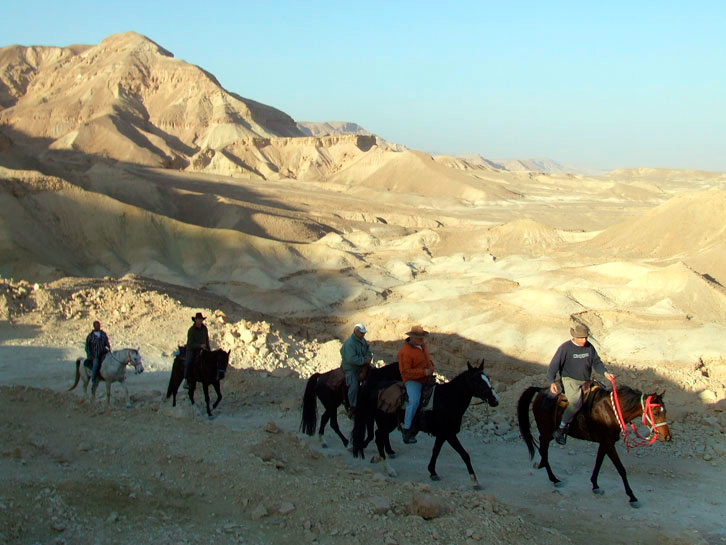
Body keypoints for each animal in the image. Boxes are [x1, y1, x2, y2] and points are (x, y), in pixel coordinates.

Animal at [352, 360, 500, 486]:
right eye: (477, 381)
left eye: (488, 379)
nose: (495, 400)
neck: (449, 399)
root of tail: (377, 386)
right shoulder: (449, 433)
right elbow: (464, 454)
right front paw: (474, 481)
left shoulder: (442, 434)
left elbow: (436, 451)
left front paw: (432, 472)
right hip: (386, 422)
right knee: (378, 437)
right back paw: (389, 469)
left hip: (388, 423)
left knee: (380, 436)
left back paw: (379, 457)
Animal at [520, 380, 672, 504]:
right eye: (655, 413)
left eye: (665, 411)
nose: (667, 437)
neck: (611, 410)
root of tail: (541, 391)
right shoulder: (608, 442)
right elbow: (621, 468)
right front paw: (632, 496)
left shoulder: (605, 442)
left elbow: (598, 462)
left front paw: (595, 485)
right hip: (546, 430)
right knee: (543, 447)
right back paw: (553, 478)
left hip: (549, 432)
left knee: (542, 445)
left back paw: (542, 465)